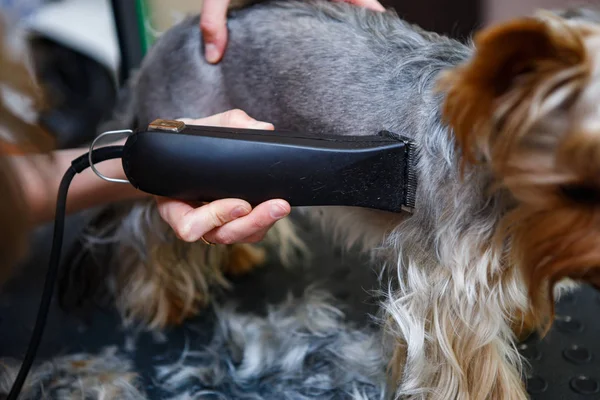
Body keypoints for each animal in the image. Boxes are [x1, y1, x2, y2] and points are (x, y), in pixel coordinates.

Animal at [74, 1, 600, 398]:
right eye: (581, 180)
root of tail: (170, 39)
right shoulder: (447, 287)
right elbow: (473, 367)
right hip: (181, 141)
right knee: (144, 239)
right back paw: (162, 302)